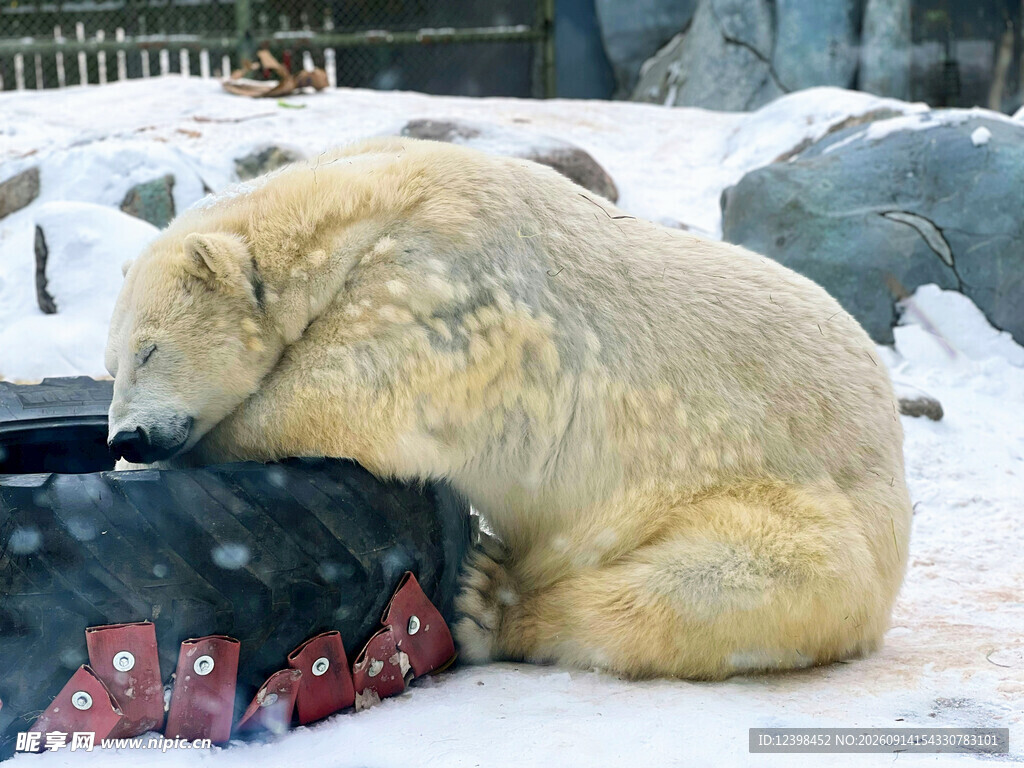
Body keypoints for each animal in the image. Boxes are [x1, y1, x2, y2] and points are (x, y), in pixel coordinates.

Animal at [106, 136, 912, 680]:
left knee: (701, 590)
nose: (127, 438)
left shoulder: (436, 288)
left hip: (786, 511)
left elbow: (348, 392)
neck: (364, 205)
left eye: (149, 350)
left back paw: (491, 601)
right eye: (112, 363)